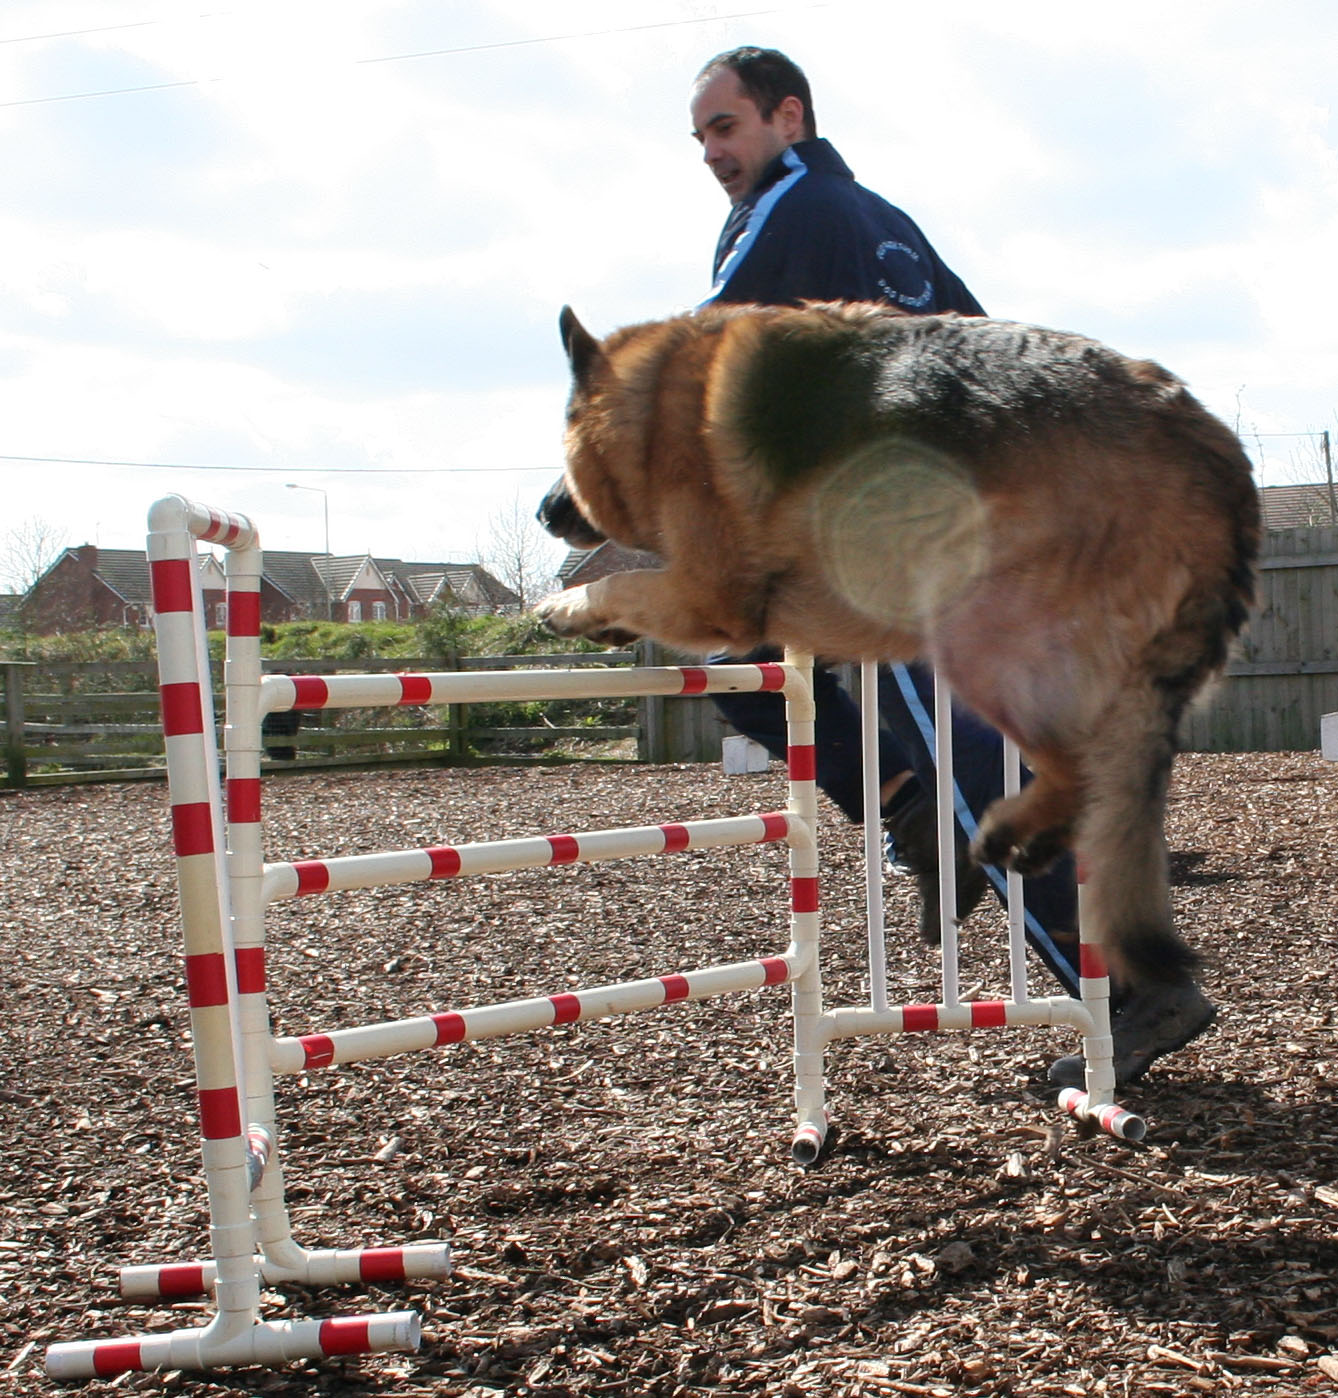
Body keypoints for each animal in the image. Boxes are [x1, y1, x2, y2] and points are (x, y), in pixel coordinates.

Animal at [531, 301, 1252, 989]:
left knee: (1077, 767)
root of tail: (1213, 458)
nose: (544, 511)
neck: (653, 400)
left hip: (978, 634)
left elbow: (622, 582)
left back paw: (1005, 832)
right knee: (1088, 779)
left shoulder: (706, 593)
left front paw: (566, 608)